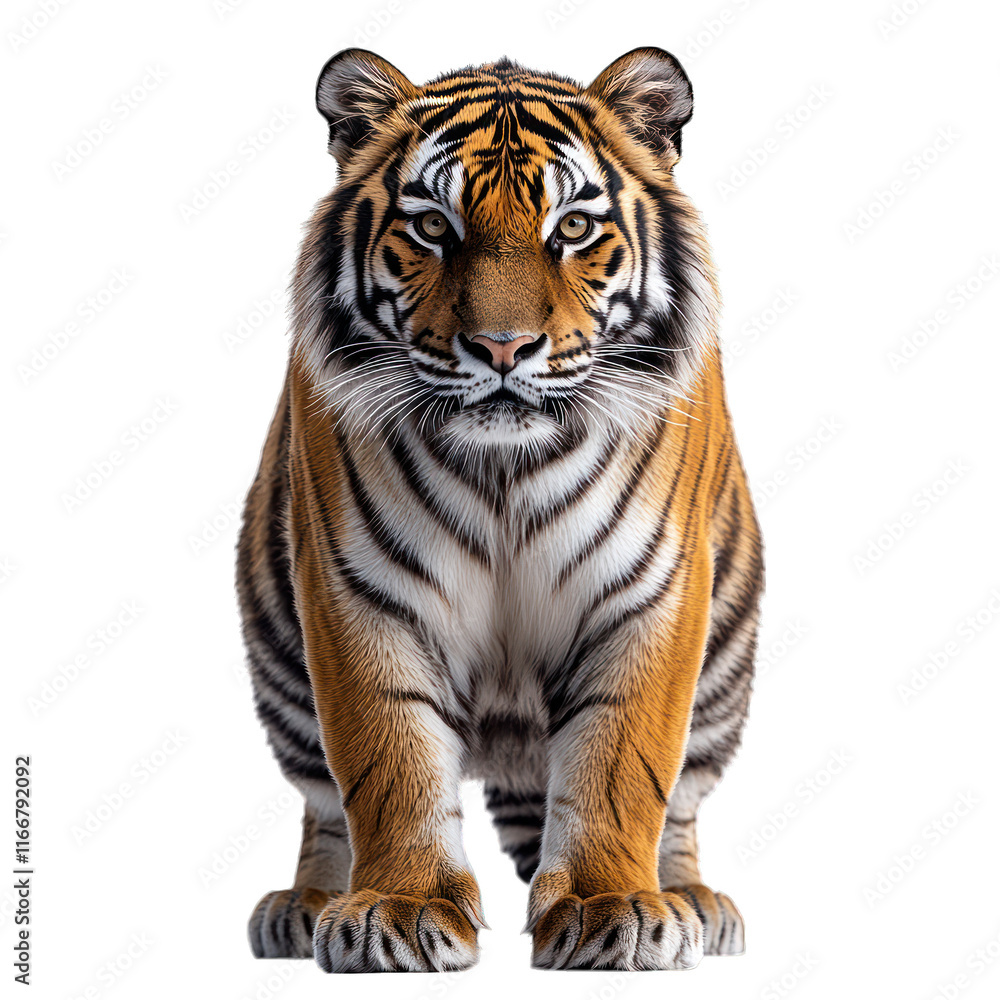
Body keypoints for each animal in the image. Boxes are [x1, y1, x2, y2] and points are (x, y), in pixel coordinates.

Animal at [236, 46, 764, 973]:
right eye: (434, 228)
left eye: (574, 229)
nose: (503, 348)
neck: (505, 470)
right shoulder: (360, 591)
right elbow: (388, 759)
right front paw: (401, 909)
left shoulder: (651, 594)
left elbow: (623, 765)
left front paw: (608, 907)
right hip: (280, 657)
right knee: (323, 801)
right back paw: (306, 905)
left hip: (725, 665)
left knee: (684, 801)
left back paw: (694, 901)